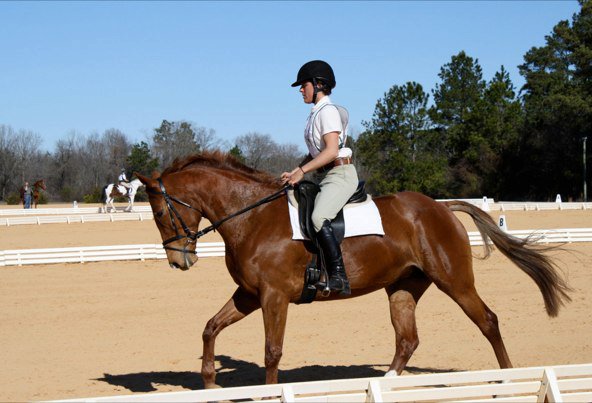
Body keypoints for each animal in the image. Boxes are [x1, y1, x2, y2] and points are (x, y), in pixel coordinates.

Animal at [136, 151, 572, 388]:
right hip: (403, 287)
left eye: (158, 212)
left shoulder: (274, 297)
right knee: (407, 339)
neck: (252, 216)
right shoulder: (250, 295)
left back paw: (509, 378)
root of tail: (441, 206)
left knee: (488, 321)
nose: (179, 260)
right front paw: (210, 381)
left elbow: (272, 352)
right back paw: (386, 383)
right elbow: (210, 328)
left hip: (454, 281)